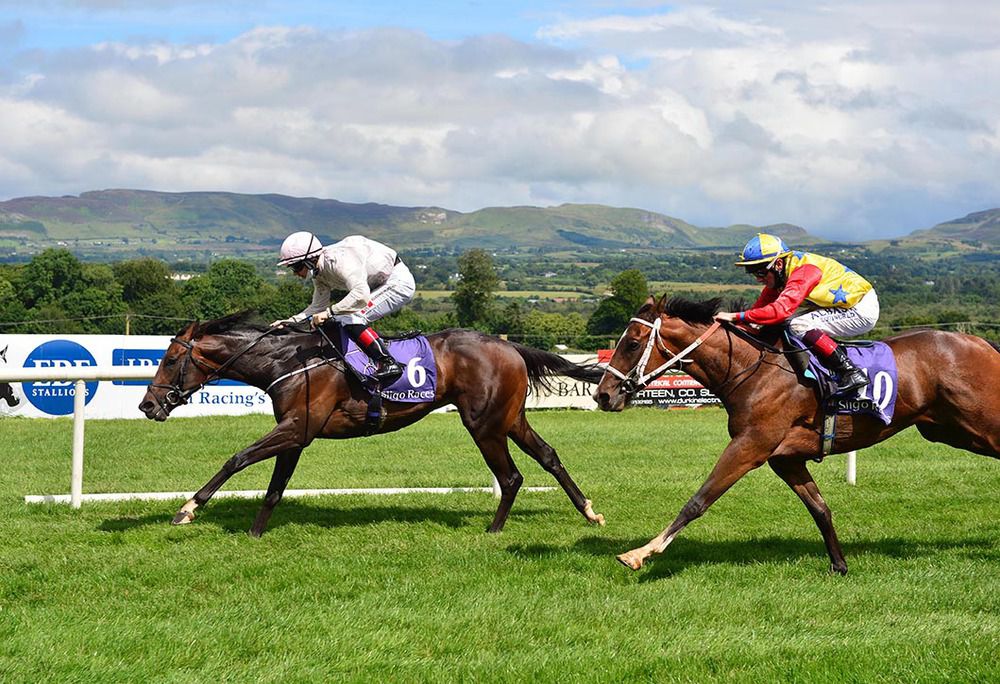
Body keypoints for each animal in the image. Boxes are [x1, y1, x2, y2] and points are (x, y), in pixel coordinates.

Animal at [139, 312, 606, 537]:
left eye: (171, 360)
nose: (148, 405)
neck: (287, 361)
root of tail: (511, 348)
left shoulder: (298, 426)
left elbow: (237, 458)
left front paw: (187, 509)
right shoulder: (296, 432)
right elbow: (273, 489)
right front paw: (254, 533)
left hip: (484, 424)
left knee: (510, 477)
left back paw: (493, 530)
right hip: (510, 419)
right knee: (548, 456)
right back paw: (589, 512)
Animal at [594, 294, 1000, 574]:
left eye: (632, 342)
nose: (603, 395)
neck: (752, 369)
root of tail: (983, 344)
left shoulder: (750, 446)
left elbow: (698, 500)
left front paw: (639, 554)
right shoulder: (785, 458)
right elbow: (820, 508)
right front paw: (839, 565)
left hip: (978, 422)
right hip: (950, 431)